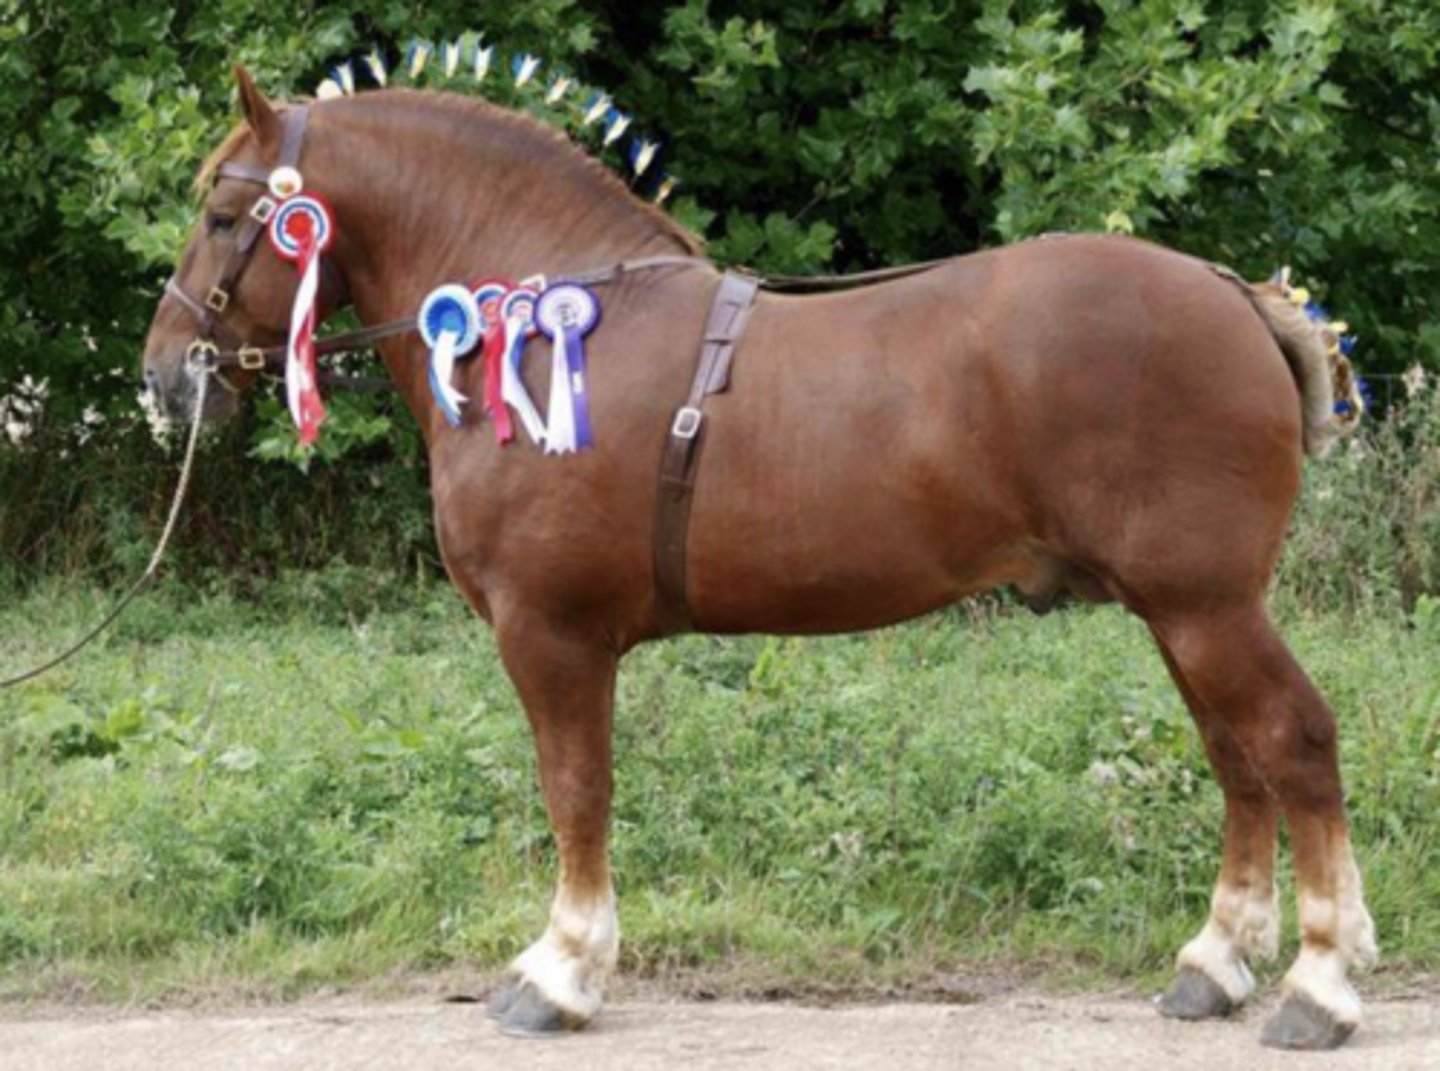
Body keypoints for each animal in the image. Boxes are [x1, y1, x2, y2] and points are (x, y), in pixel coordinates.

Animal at [142, 68, 1375, 1049]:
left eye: (223, 212)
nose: (165, 375)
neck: (543, 335)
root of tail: (1232, 295)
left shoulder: (554, 634)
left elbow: (575, 790)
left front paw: (563, 968)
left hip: (1206, 605)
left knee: (1292, 742)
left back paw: (1316, 987)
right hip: (1182, 612)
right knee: (1237, 760)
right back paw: (1216, 962)